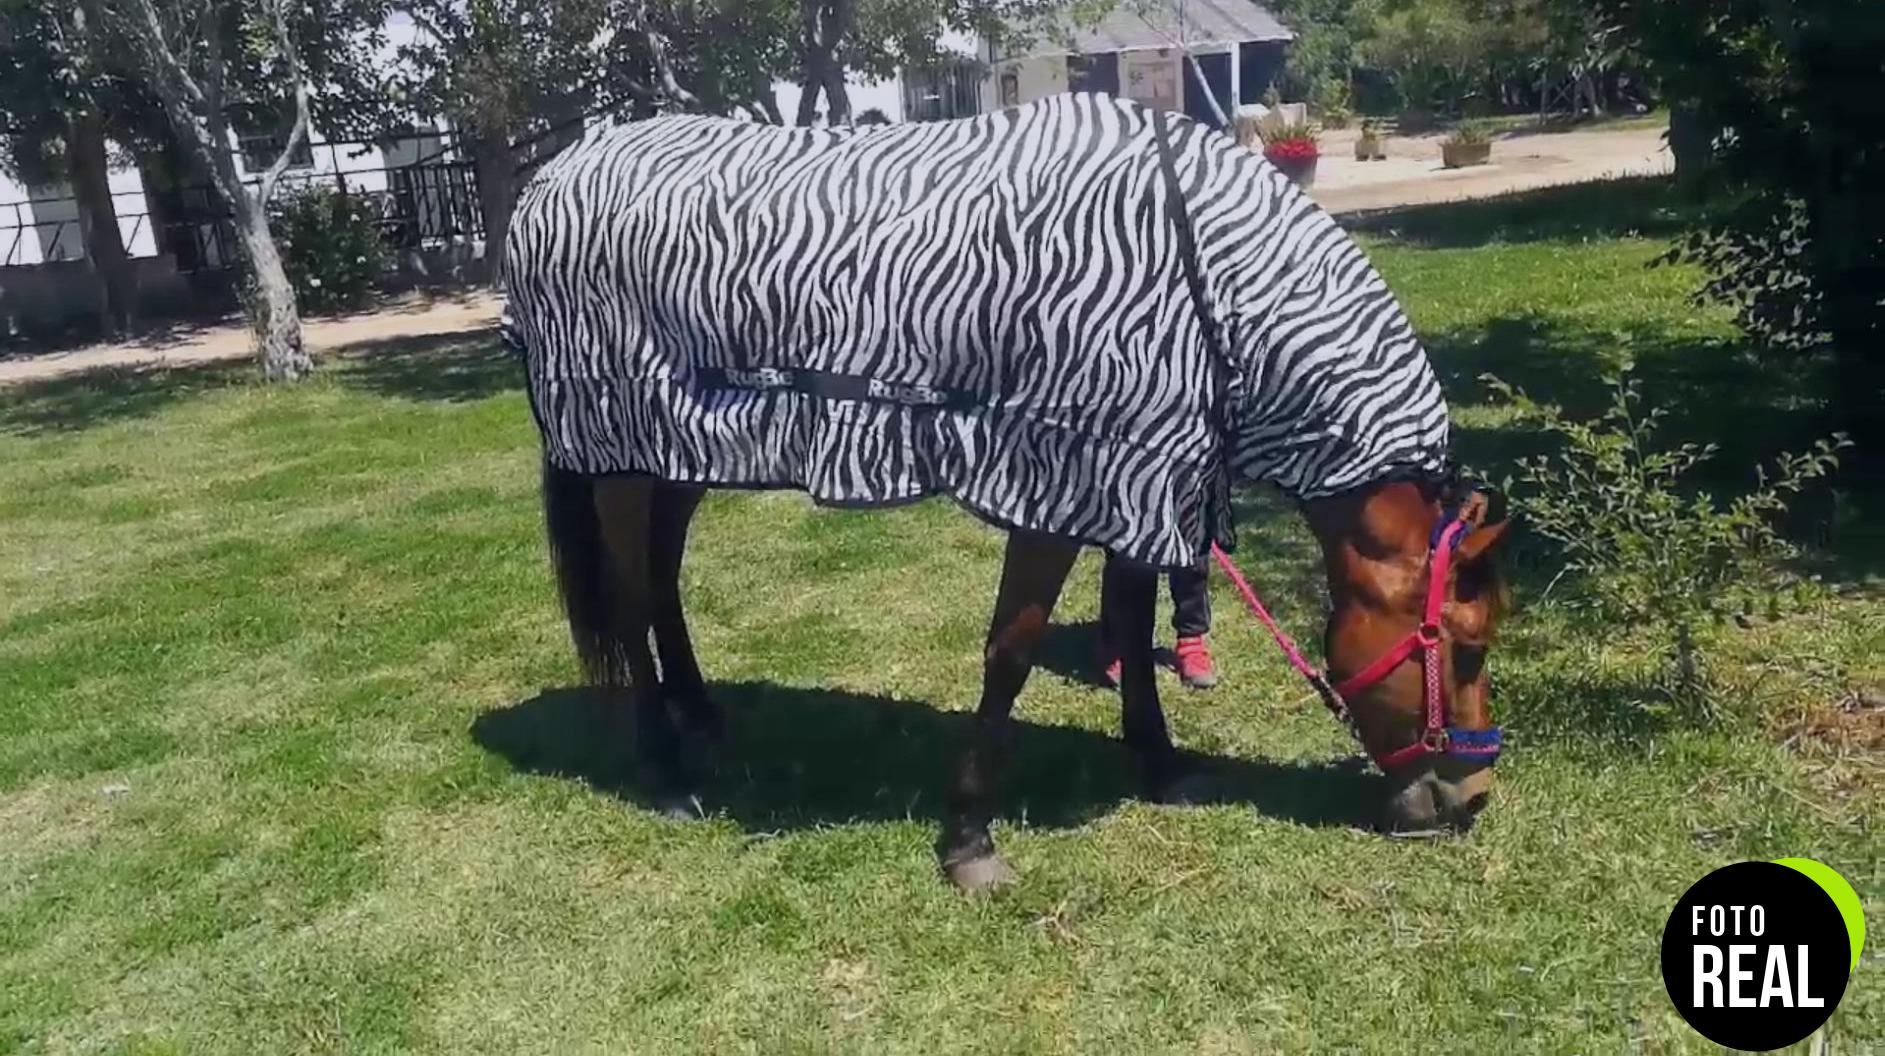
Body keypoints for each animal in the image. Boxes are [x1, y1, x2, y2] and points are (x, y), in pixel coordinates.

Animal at [502, 94, 1512, 890]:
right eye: (1463, 650)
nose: (1471, 798)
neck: (1204, 283)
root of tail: (552, 178)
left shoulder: (1135, 476)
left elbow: (1130, 624)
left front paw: (1159, 763)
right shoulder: (1060, 481)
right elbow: (1013, 650)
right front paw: (969, 839)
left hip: (678, 453)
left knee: (662, 584)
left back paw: (703, 714)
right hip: (623, 456)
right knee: (631, 598)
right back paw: (666, 773)